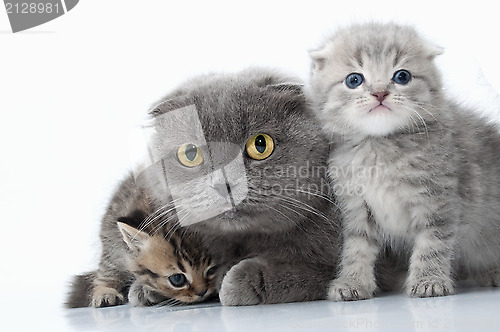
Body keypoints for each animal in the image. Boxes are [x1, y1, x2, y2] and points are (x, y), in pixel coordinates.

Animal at [67, 68, 340, 308]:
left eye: (260, 145)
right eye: (190, 154)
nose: (223, 184)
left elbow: (305, 273)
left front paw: (234, 281)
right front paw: (145, 289)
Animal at [310, 22, 500, 300]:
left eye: (402, 77)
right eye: (354, 80)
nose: (380, 93)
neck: (379, 149)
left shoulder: (438, 199)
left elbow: (432, 243)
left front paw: (429, 281)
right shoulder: (356, 206)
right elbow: (357, 247)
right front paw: (353, 281)